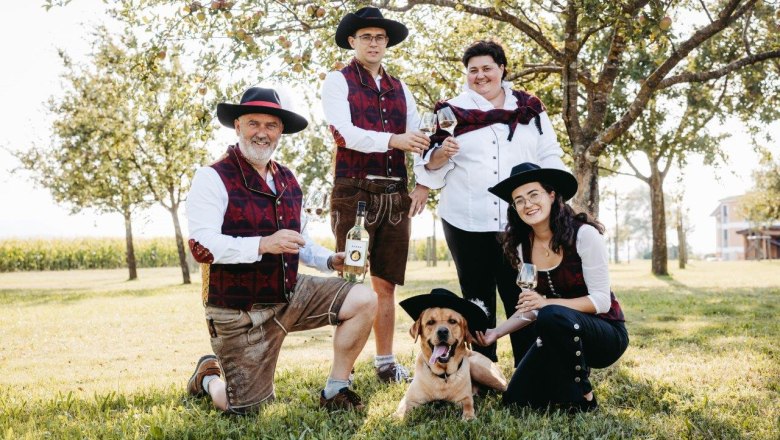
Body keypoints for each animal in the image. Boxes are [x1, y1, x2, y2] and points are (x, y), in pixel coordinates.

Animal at [396, 288, 512, 420]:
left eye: (452, 321)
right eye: (430, 322)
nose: (442, 331)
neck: (444, 375)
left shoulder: (465, 398)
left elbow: (468, 405)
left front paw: (469, 418)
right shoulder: (409, 399)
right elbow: (402, 411)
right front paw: (397, 419)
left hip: (478, 368)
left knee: (505, 386)